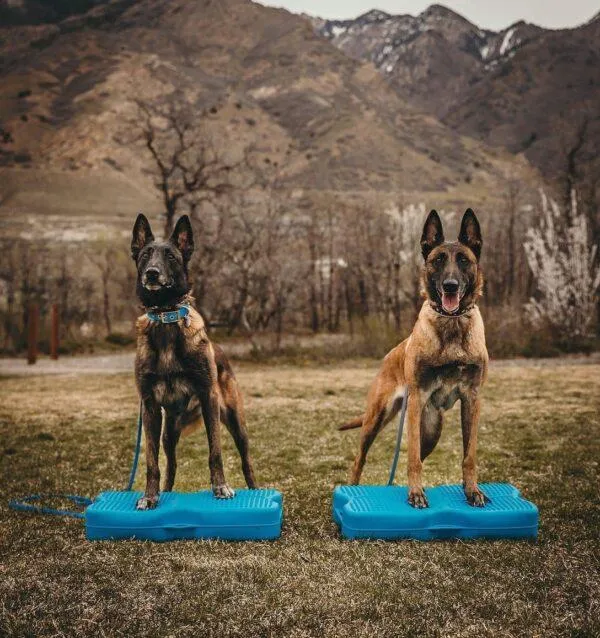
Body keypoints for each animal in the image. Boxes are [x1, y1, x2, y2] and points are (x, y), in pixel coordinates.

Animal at [342, 210, 488, 510]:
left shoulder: (472, 399)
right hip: (378, 419)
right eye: (438, 260)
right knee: (363, 458)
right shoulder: (418, 398)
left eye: (464, 260)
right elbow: (411, 460)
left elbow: (469, 455)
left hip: (431, 430)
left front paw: (472, 490)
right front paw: (416, 494)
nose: (450, 286)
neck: (451, 325)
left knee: (418, 455)